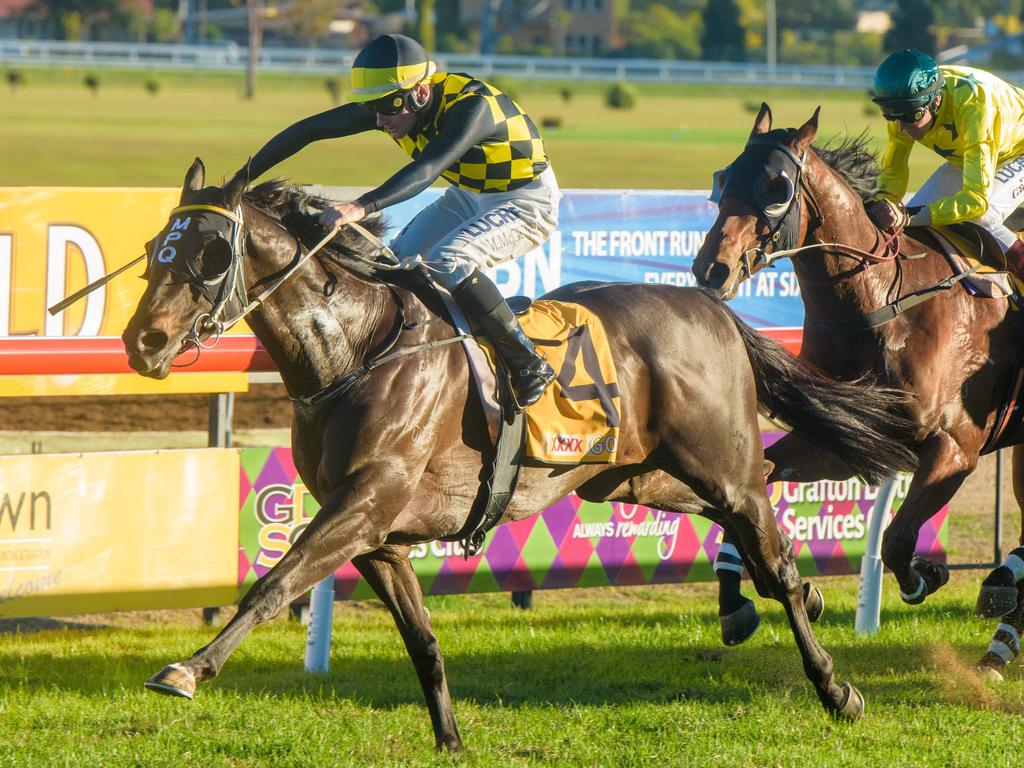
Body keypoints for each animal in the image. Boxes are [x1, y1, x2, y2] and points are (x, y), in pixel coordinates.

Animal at [121, 159, 921, 749]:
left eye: (211, 254)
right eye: (157, 250)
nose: (143, 342)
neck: (358, 350)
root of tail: (714, 308)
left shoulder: (365, 503)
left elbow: (274, 583)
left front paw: (187, 669)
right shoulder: (378, 536)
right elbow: (422, 640)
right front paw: (450, 740)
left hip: (722, 463)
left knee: (772, 554)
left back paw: (837, 686)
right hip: (630, 476)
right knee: (749, 532)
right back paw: (800, 595)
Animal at [688, 105, 1024, 671]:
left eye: (775, 186)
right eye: (724, 178)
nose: (711, 267)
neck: (883, 304)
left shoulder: (956, 448)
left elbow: (897, 540)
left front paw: (924, 575)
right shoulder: (841, 436)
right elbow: (756, 486)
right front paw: (744, 601)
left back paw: (1002, 601)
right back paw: (1002, 622)